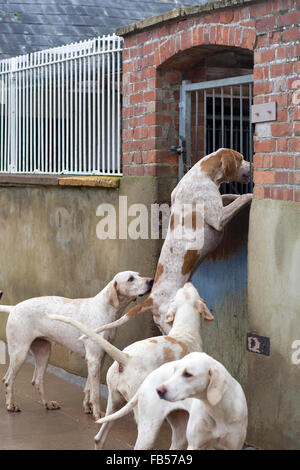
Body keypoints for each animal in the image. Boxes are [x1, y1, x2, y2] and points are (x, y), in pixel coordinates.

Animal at [0, 270, 152, 416]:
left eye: (138, 275)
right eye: (130, 278)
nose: (151, 281)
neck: (105, 309)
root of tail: (14, 307)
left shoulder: (97, 360)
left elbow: (88, 387)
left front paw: (87, 407)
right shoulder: (94, 359)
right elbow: (95, 392)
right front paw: (97, 413)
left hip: (44, 353)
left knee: (37, 381)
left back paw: (48, 403)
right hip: (20, 354)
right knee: (8, 380)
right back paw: (10, 405)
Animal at [92, 148, 252, 334]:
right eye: (241, 158)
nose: (251, 164)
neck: (204, 174)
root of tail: (151, 299)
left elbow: (230, 195)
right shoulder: (219, 219)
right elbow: (243, 198)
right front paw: (251, 194)